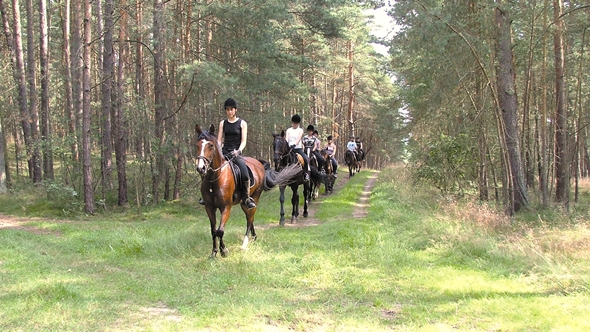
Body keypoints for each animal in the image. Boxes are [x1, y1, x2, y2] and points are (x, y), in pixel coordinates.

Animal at [197, 124, 300, 256]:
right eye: (197, 145)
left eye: (210, 145)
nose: (201, 168)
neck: (215, 178)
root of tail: (259, 164)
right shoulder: (209, 207)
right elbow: (213, 230)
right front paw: (214, 252)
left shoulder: (226, 206)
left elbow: (220, 230)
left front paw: (224, 250)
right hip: (243, 202)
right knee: (250, 218)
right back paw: (254, 237)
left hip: (255, 197)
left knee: (250, 218)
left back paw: (245, 243)